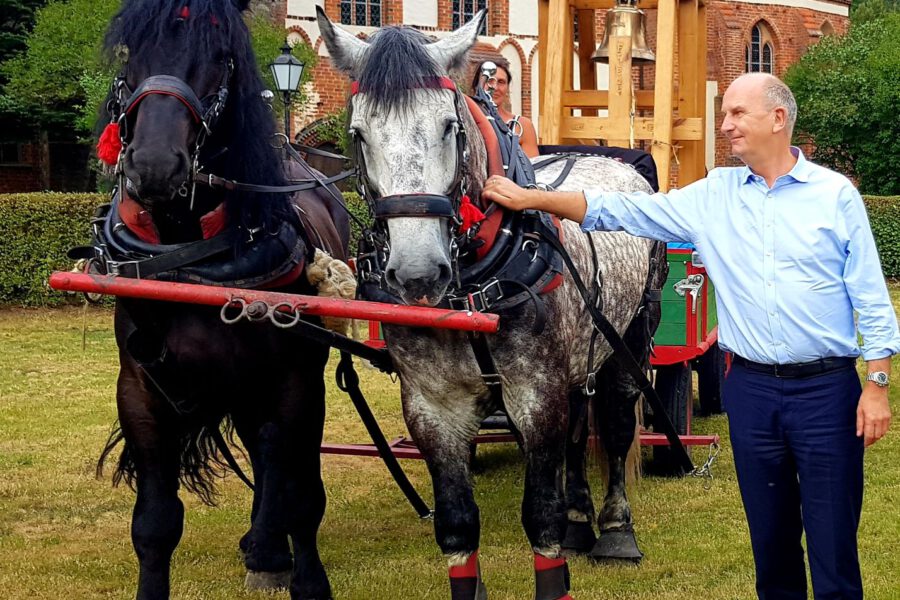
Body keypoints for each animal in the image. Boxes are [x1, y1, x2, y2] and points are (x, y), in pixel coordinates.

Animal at [95, 2, 348, 596]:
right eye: (130, 49)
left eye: (221, 54)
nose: (155, 166)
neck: (189, 257)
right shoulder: (139, 391)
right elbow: (155, 523)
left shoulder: (296, 384)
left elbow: (301, 493)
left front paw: (309, 580)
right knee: (262, 451)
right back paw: (264, 546)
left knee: (277, 458)